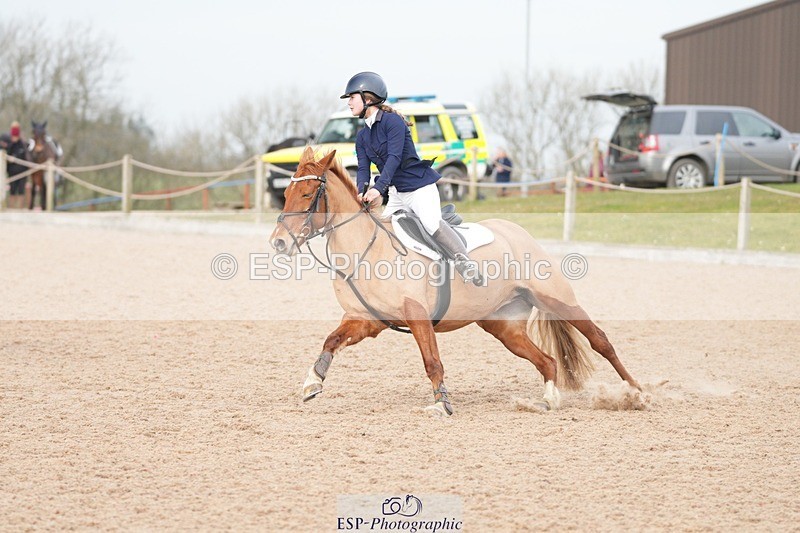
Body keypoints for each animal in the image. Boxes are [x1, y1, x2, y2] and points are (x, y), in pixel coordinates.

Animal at [269, 147, 640, 416]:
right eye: (286, 193)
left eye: (307, 195)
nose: (279, 243)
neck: (367, 250)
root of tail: (518, 231)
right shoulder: (365, 320)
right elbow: (330, 341)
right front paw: (312, 382)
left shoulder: (417, 316)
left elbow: (432, 361)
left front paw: (441, 404)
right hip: (504, 327)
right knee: (547, 361)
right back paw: (548, 400)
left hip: (556, 298)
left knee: (600, 341)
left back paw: (635, 393)